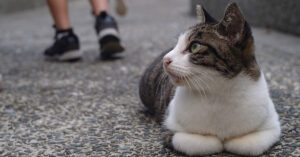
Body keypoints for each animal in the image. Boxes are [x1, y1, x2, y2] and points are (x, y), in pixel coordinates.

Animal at [139, 3, 280, 156]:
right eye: (177, 44)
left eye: (194, 46)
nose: (166, 59)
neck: (218, 93)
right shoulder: (169, 127)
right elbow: (203, 143)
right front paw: (218, 141)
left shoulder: (272, 125)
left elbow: (249, 145)